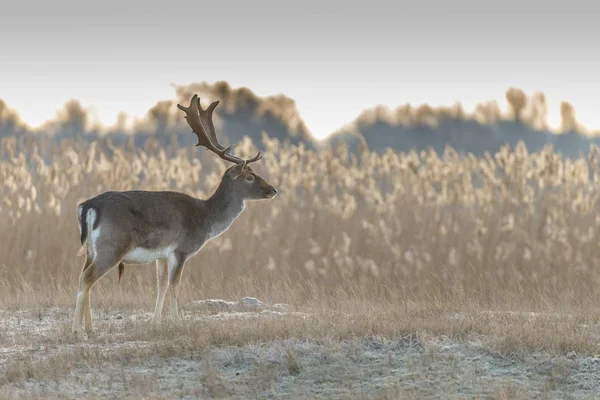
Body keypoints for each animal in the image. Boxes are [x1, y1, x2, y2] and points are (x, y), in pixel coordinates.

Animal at [72, 94, 276, 334]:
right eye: (250, 177)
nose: (273, 190)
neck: (206, 218)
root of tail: (88, 206)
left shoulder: (161, 253)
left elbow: (161, 284)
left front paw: (155, 322)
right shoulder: (181, 249)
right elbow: (174, 285)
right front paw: (177, 321)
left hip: (90, 249)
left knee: (85, 278)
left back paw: (90, 328)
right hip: (112, 245)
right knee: (85, 279)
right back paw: (77, 330)